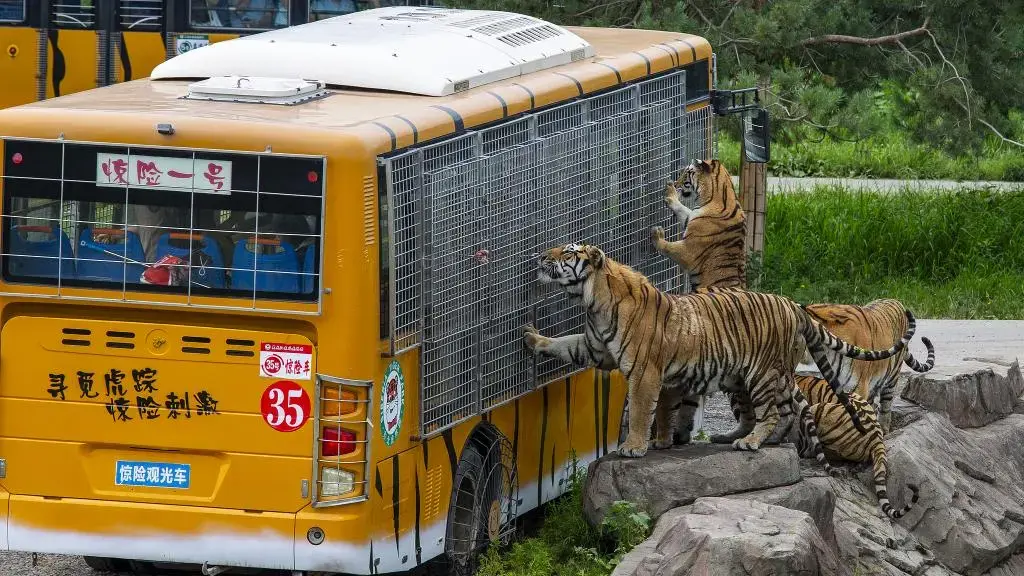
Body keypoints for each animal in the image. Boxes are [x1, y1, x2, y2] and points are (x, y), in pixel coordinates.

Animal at [522, 242, 917, 458]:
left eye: (567, 252)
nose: (540, 256)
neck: (593, 301)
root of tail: (793, 305)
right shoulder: (596, 347)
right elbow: (566, 345)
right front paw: (532, 338)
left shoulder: (644, 371)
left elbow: (641, 411)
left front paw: (634, 446)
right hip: (762, 377)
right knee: (785, 412)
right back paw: (756, 439)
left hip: (760, 374)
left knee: (770, 413)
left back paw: (751, 442)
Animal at [650, 158, 746, 291]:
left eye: (686, 174)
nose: (675, 183)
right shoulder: (691, 218)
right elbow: (682, 209)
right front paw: (671, 194)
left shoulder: (689, 250)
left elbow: (668, 247)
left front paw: (657, 234)